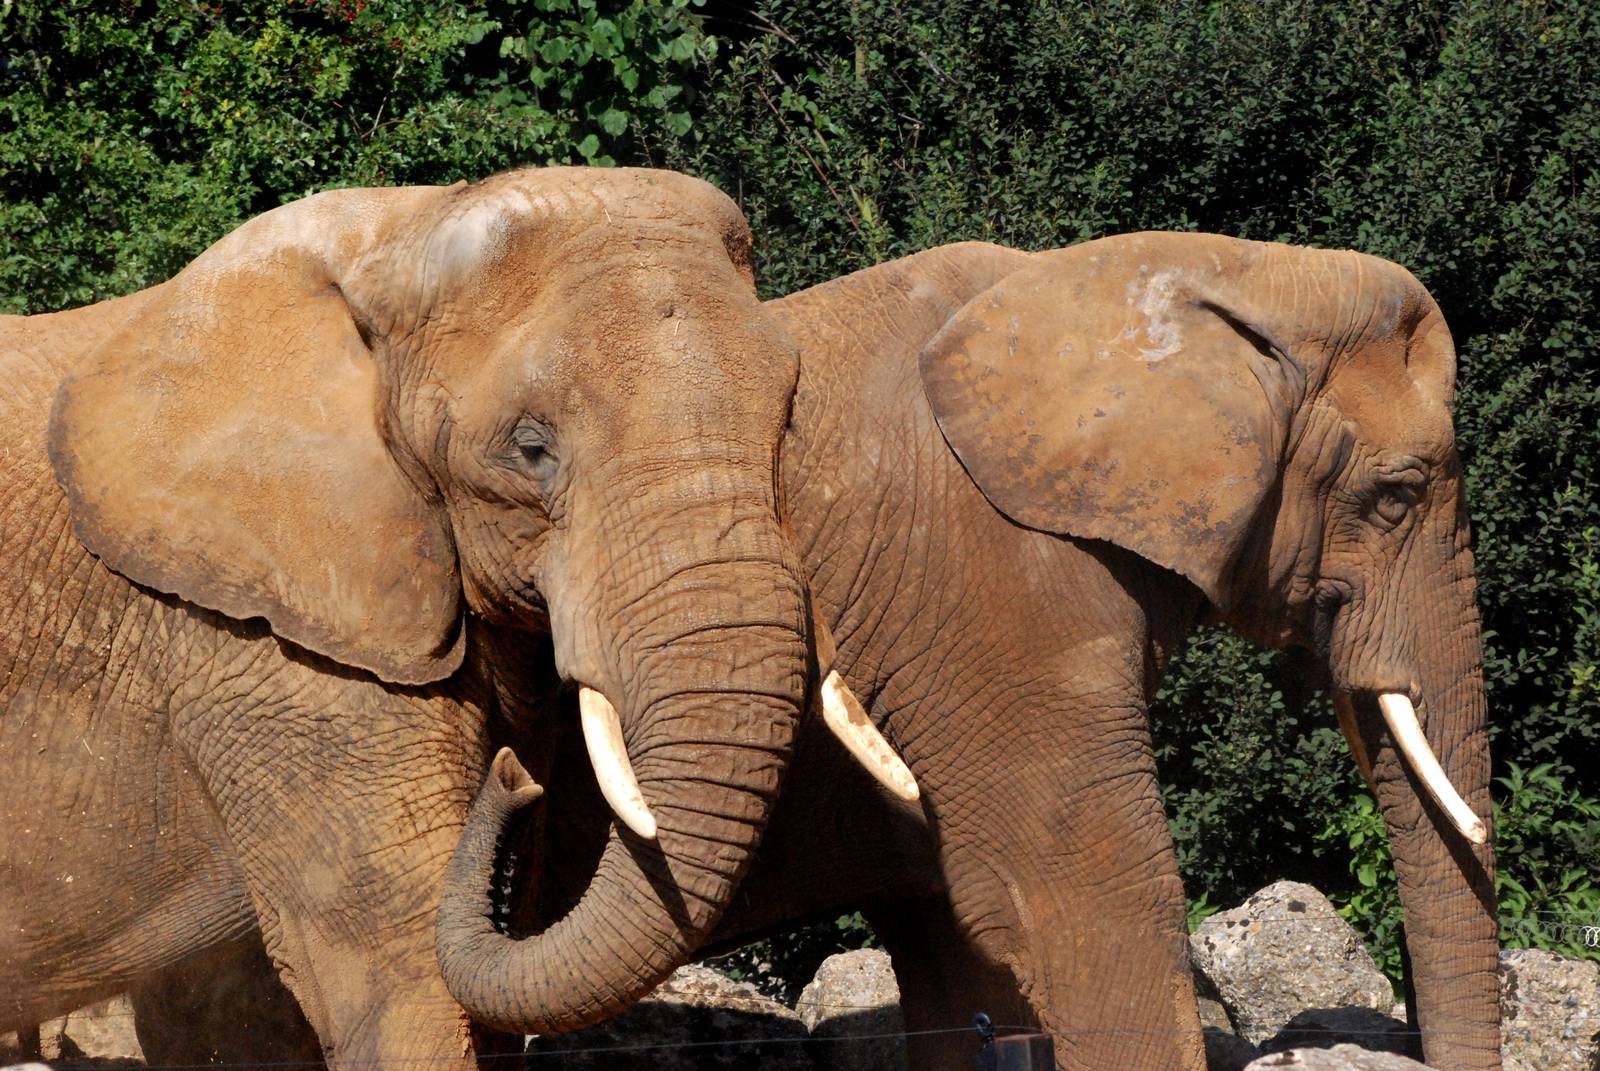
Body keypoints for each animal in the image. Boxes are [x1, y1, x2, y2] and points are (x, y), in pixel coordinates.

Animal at [0, 166, 906, 1068]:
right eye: (530, 447)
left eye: (787, 419)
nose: (513, 779)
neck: (399, 230)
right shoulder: (267, 643)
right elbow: (406, 991)